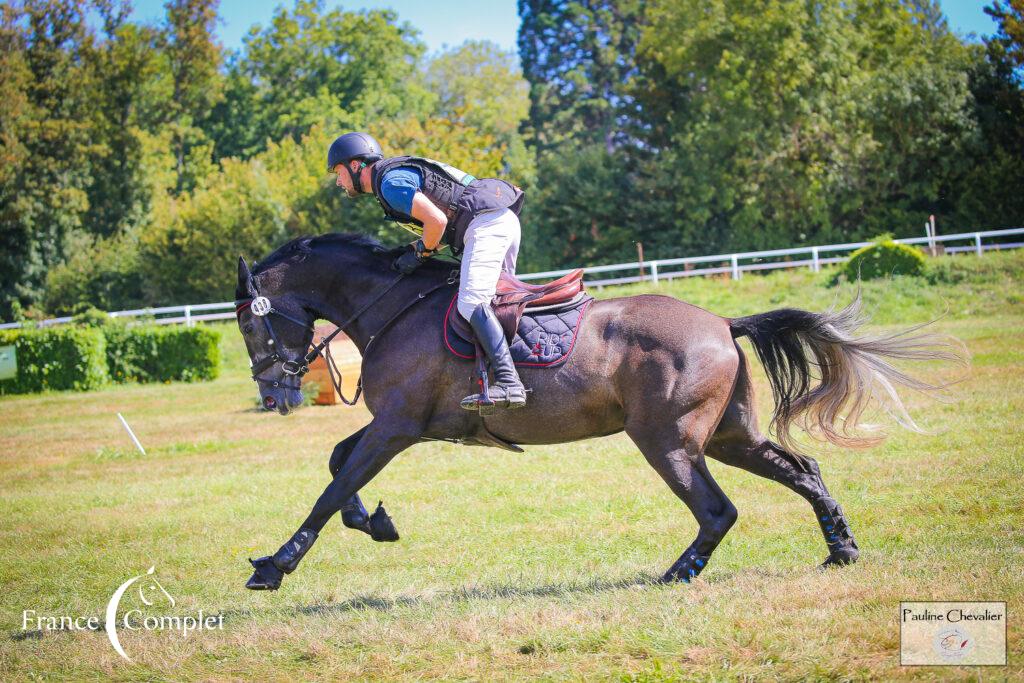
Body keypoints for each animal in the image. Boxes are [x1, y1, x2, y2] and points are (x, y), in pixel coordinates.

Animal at [234, 232, 958, 589]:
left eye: (246, 322)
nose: (274, 391)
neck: (392, 306)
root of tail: (723, 323)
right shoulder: (401, 425)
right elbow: (339, 466)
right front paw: (376, 522)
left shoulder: (397, 426)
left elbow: (331, 488)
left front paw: (275, 566)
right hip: (729, 437)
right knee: (802, 468)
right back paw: (841, 548)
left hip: (666, 439)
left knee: (717, 510)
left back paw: (676, 574)